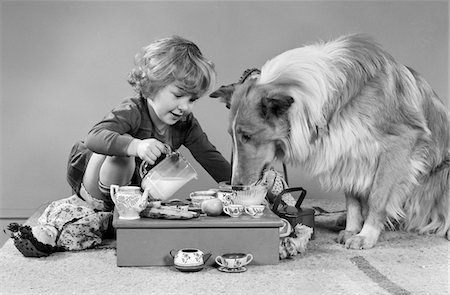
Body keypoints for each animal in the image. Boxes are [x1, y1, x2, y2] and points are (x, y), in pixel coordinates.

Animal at [211, 34, 450, 250]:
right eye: (232, 136)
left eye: (247, 136)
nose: (235, 186)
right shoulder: (347, 149)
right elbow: (352, 201)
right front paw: (353, 229)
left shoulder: (400, 142)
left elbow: (378, 197)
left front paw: (366, 236)